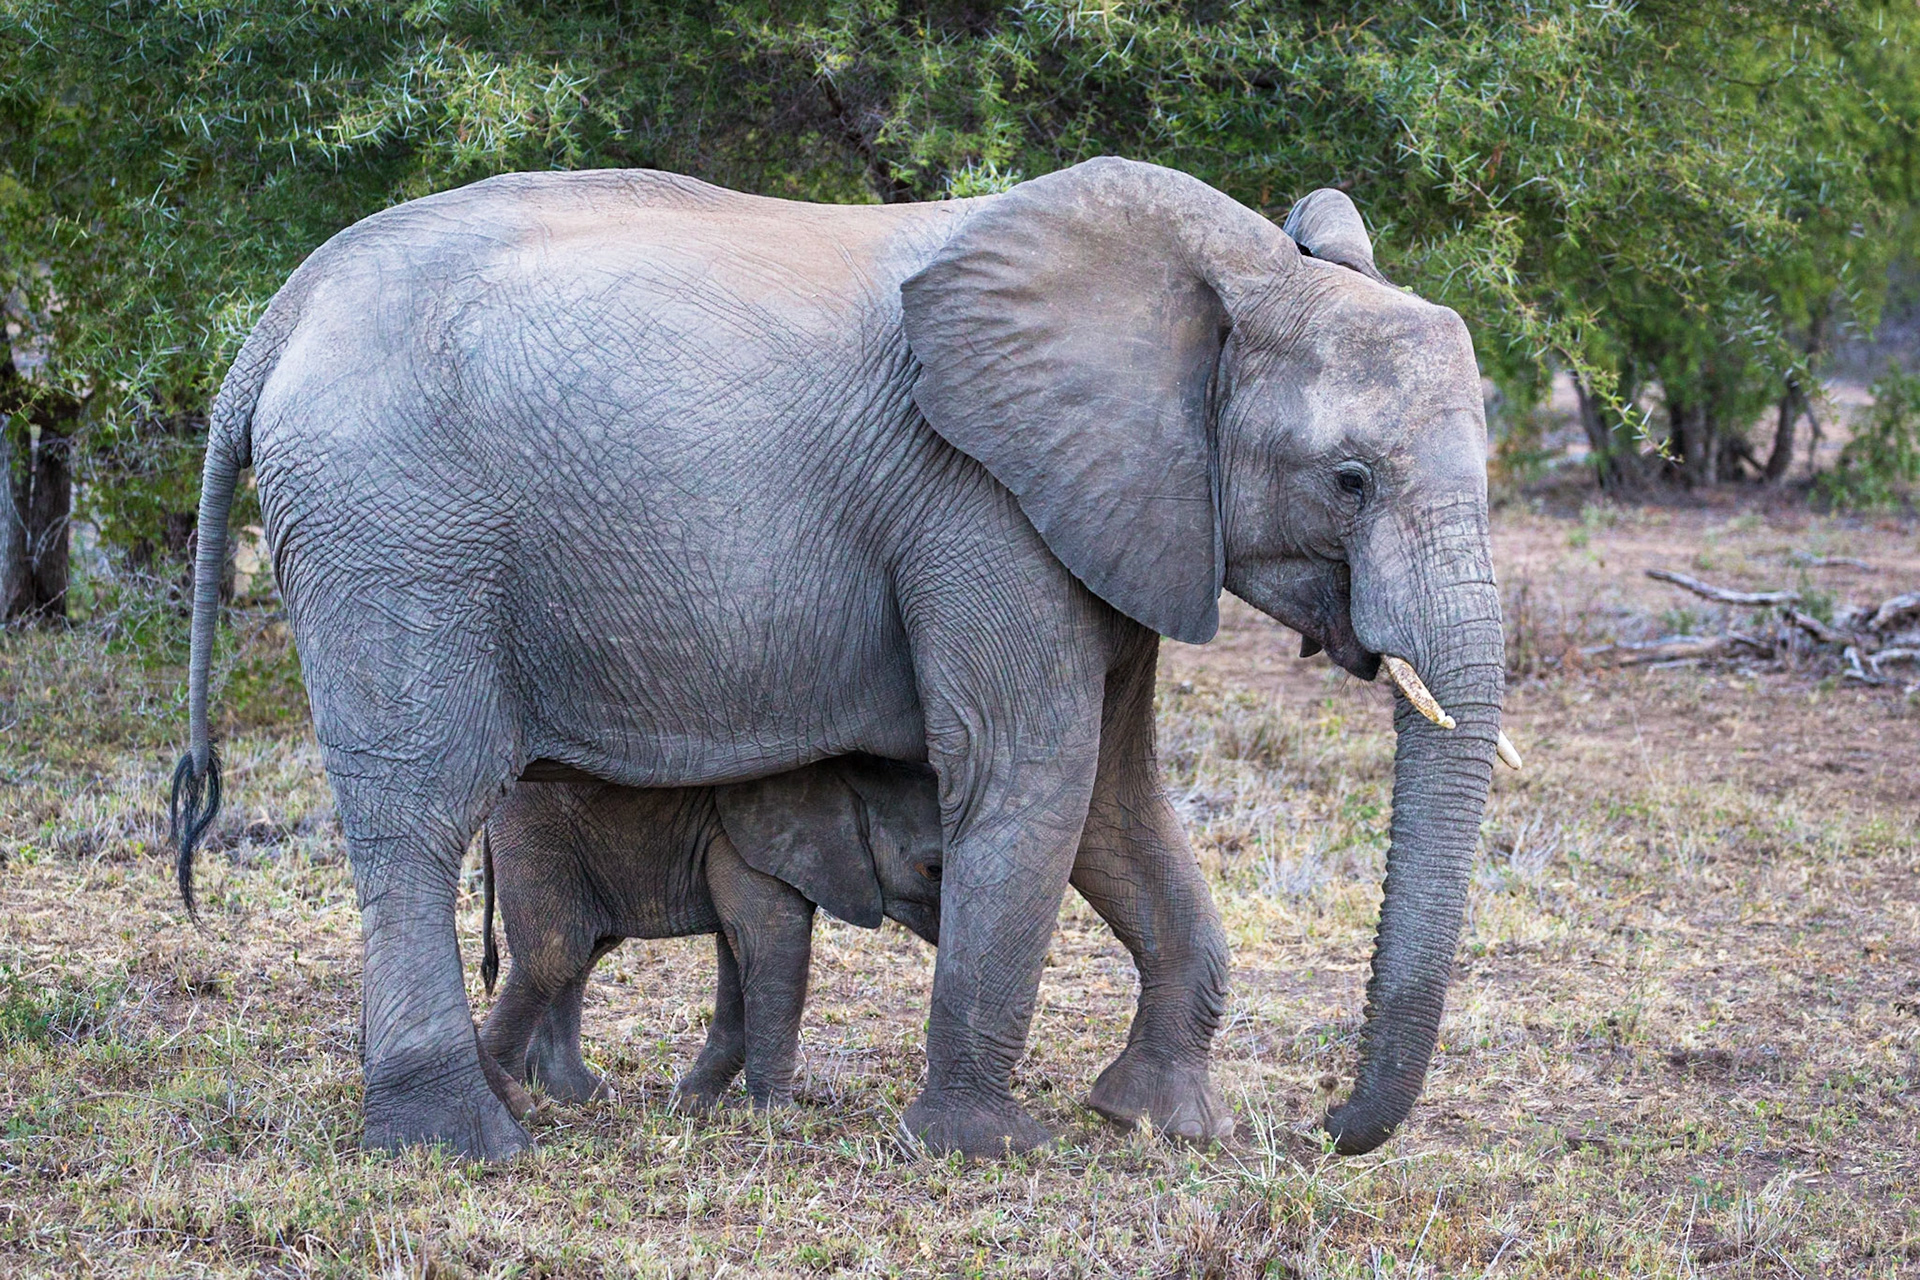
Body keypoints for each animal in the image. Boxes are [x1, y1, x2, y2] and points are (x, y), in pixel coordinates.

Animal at [477, 755, 945, 1110]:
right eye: (933, 869)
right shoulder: (749, 837)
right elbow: (773, 948)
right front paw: (778, 1117)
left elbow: (741, 955)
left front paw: (690, 1104)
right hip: (537, 836)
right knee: (556, 953)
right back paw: (513, 1098)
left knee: (583, 952)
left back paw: (581, 1096)